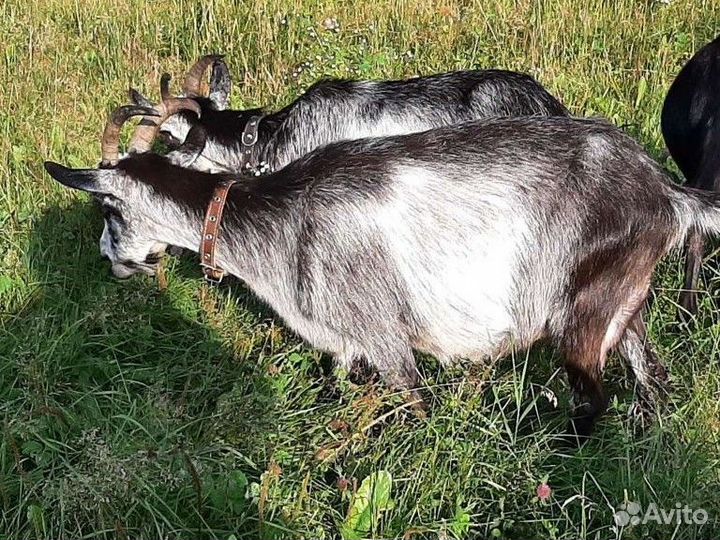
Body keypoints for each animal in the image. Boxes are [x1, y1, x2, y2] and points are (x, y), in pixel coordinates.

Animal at [45, 113, 708, 440]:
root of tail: (667, 193)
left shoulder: (383, 336)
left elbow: (416, 405)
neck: (277, 219)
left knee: (593, 396)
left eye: (107, 209)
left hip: (583, 309)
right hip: (627, 302)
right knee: (652, 379)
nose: (110, 260)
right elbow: (334, 386)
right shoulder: (342, 343)